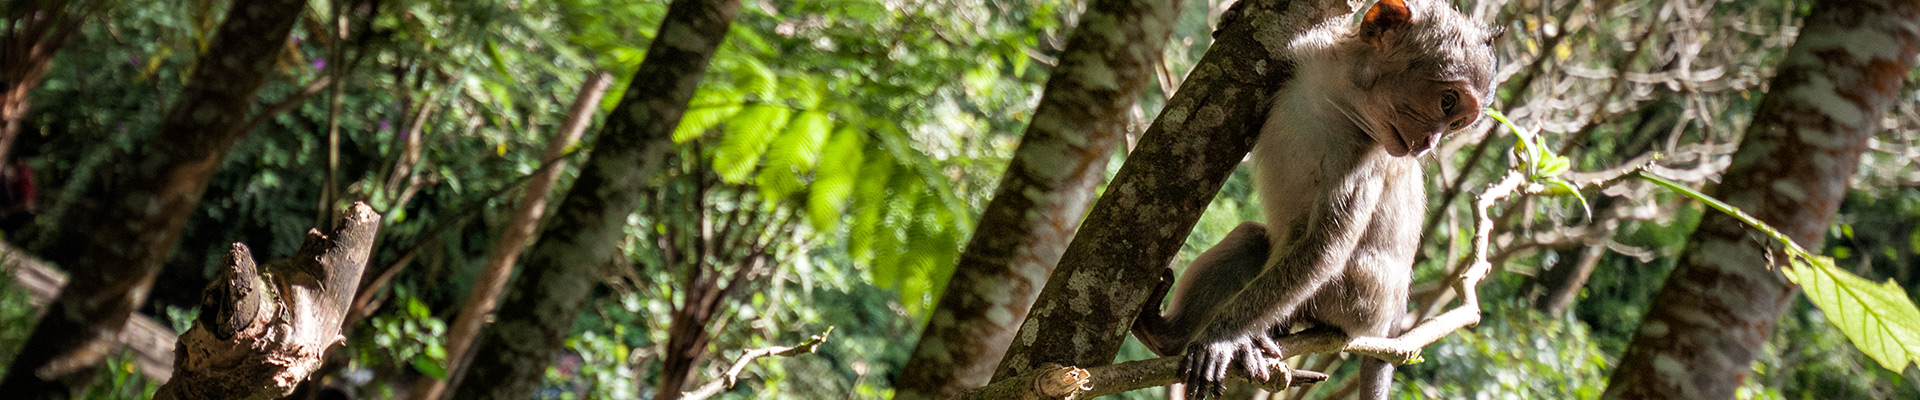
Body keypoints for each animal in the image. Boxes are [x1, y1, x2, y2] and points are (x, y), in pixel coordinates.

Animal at [1130, 0, 1497, 398]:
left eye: (1456, 124)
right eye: (1448, 103)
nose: (1431, 142)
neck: (1338, 100)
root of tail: (1392, 318)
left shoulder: (1368, 158)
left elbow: (1324, 249)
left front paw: (1223, 338)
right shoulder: (1308, 55)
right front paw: (1230, 17)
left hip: (1356, 301)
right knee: (1252, 239)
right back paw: (1166, 335)